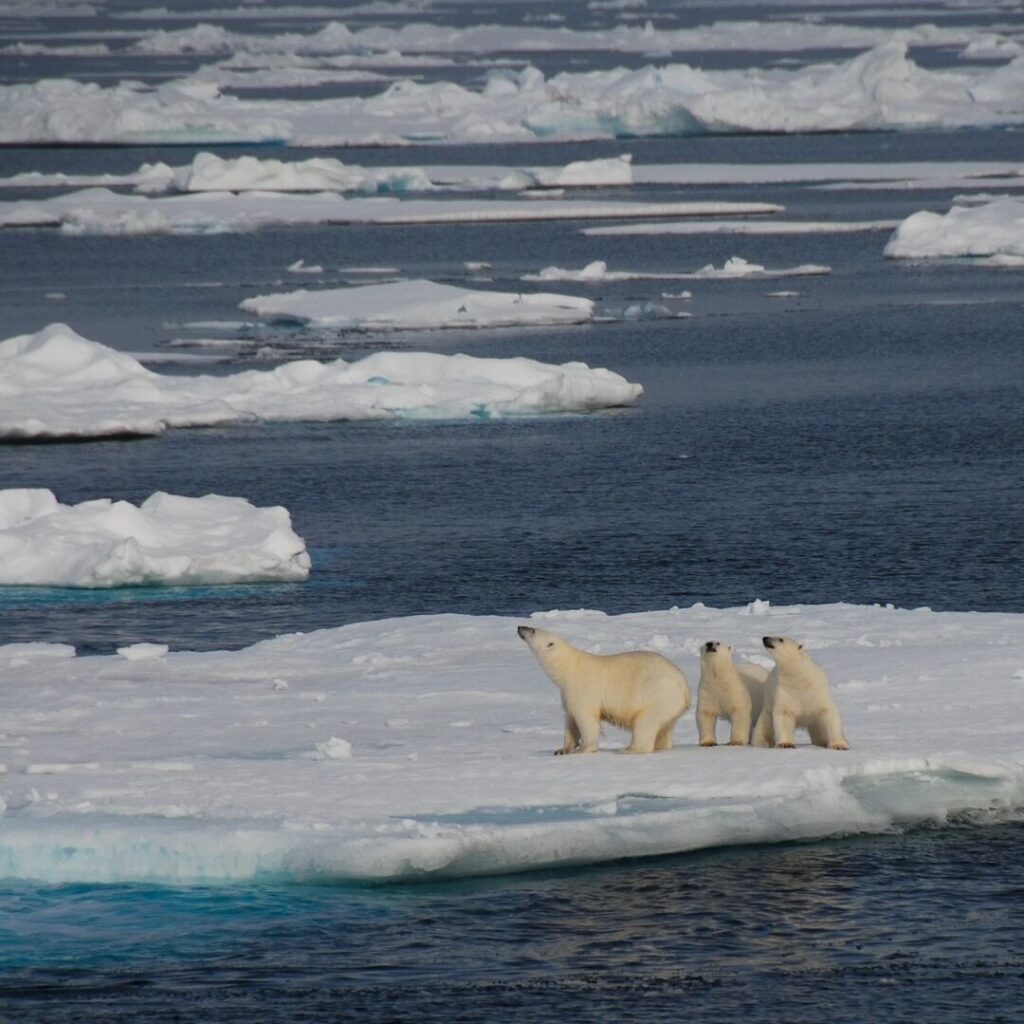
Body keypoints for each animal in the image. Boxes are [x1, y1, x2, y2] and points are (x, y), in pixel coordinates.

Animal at [517, 625, 691, 754]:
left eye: (533, 630)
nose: (520, 627)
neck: (568, 668)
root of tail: (684, 686)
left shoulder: (582, 688)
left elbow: (586, 719)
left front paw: (583, 749)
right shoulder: (566, 693)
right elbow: (570, 720)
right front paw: (562, 749)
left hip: (659, 696)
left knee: (645, 722)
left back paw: (629, 749)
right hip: (670, 705)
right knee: (665, 727)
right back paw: (661, 746)